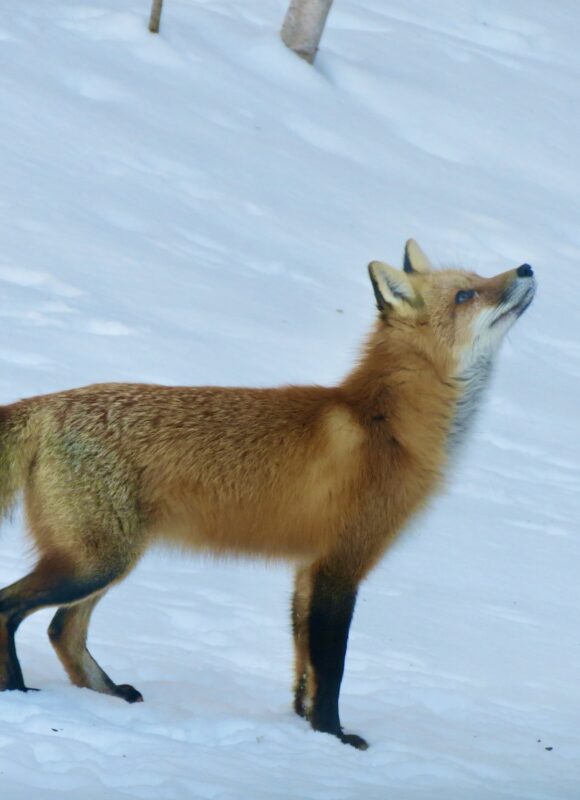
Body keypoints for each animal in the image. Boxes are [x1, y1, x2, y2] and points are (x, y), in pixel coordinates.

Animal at [0, 241, 535, 749]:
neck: (386, 426)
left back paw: (107, 694)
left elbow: (303, 665)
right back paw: (19, 691)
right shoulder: (340, 566)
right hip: (95, 563)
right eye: (466, 294)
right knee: (12, 608)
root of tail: (49, 403)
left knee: (62, 631)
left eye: (478, 277)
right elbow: (332, 667)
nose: (527, 267)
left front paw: (302, 724)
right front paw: (333, 737)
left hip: (106, 562)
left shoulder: (307, 569)